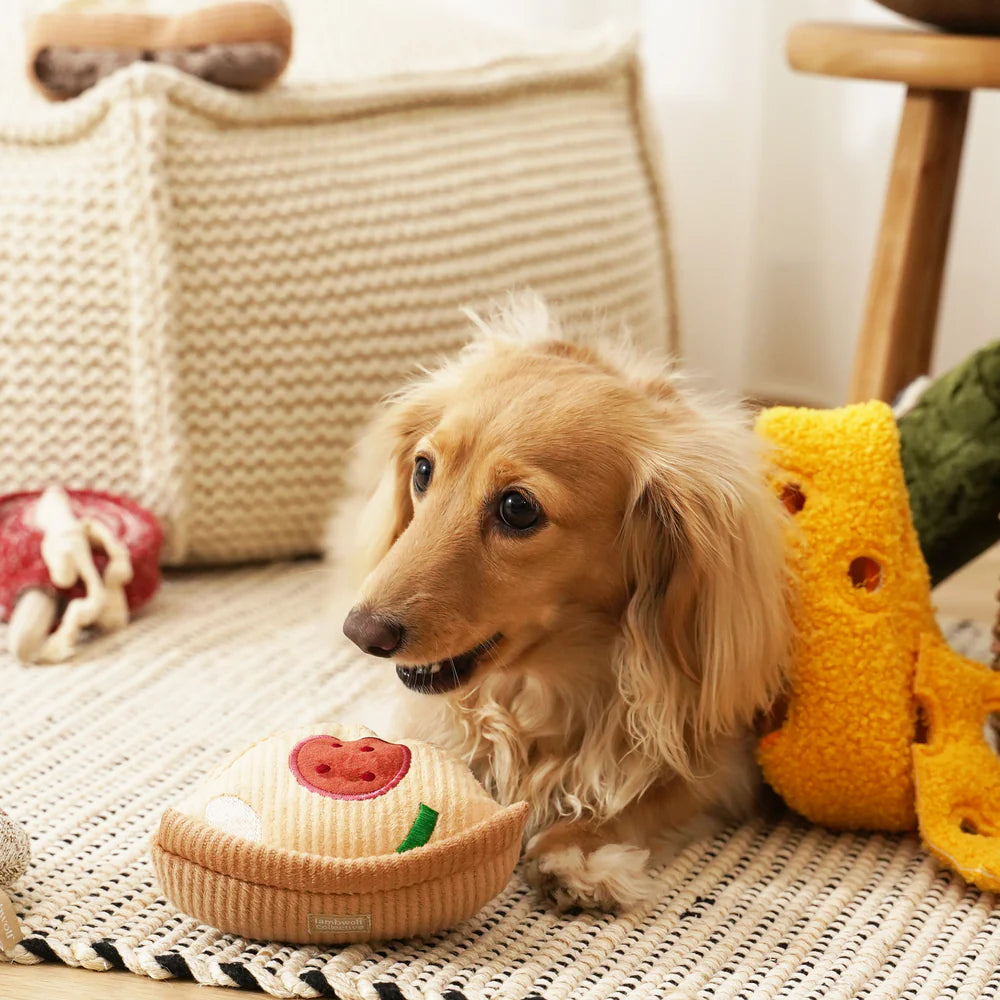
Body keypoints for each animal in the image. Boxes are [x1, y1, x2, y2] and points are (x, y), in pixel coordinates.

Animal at [332, 292, 792, 912]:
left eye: (518, 508)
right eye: (423, 470)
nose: (362, 632)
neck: (552, 687)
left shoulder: (722, 763)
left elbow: (652, 796)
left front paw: (575, 851)